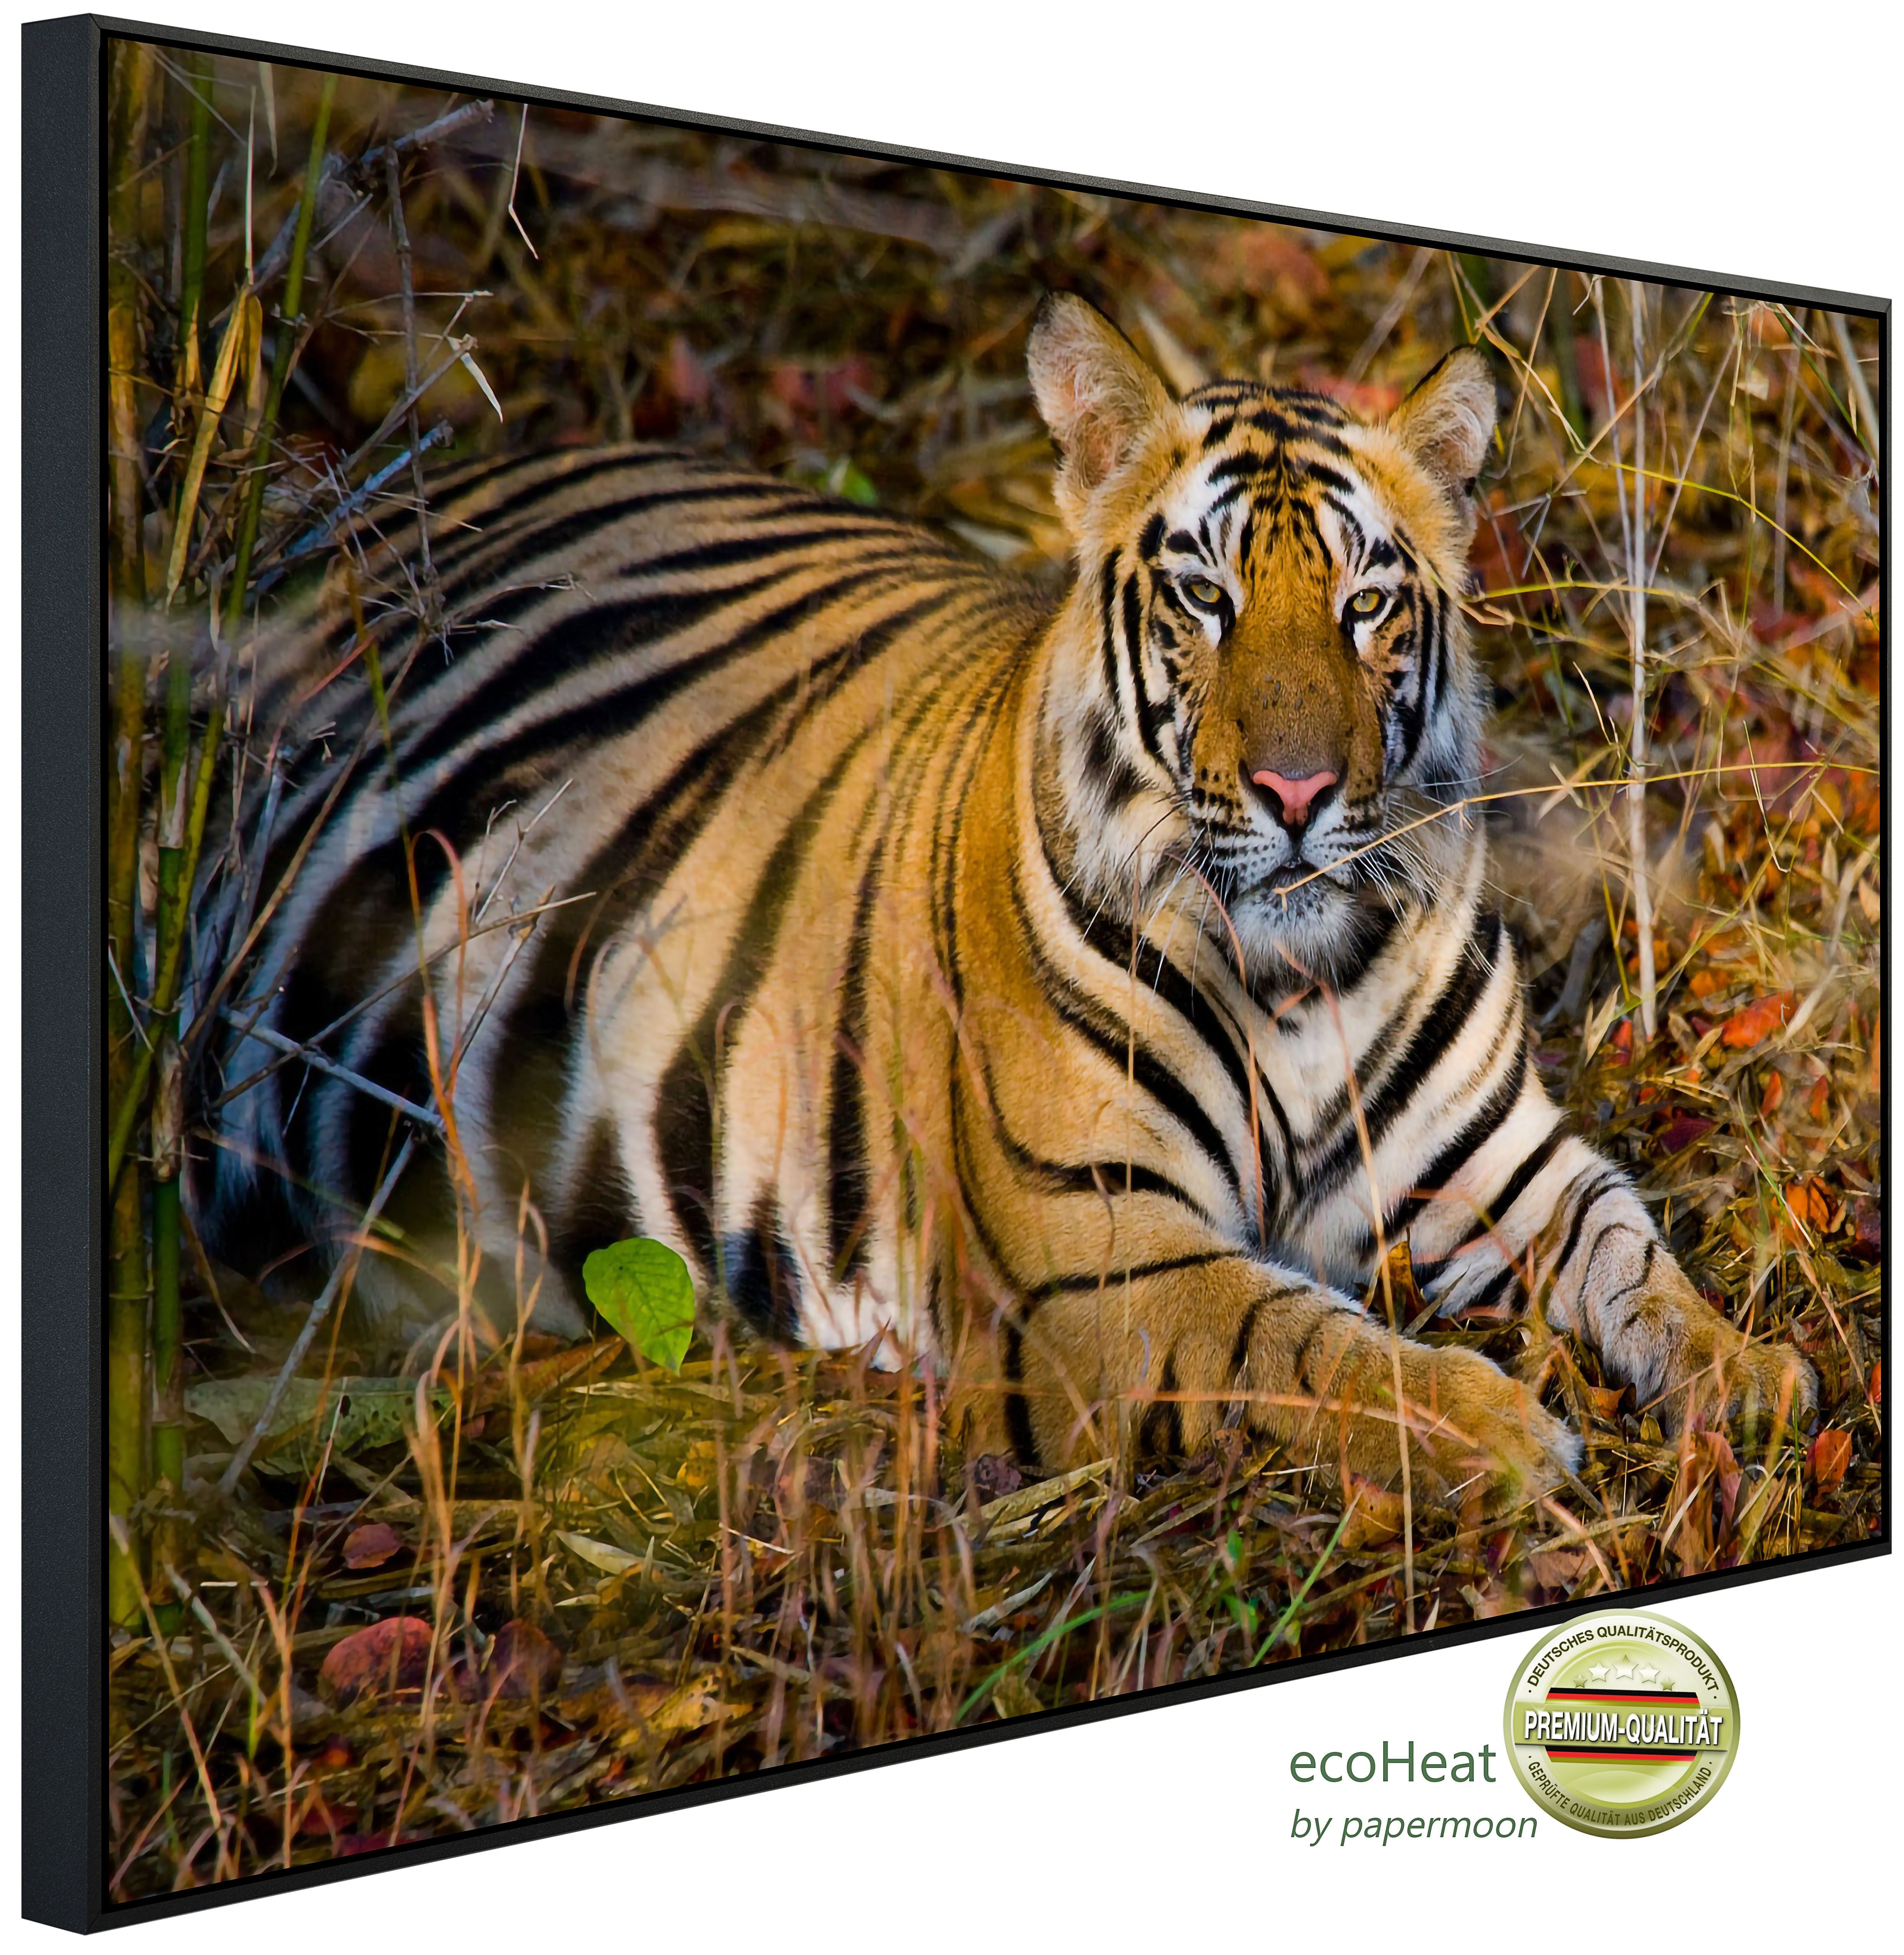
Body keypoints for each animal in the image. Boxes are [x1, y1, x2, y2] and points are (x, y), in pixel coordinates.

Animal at [194, 292, 1816, 1512]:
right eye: (1205, 597)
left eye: (1365, 605)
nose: (1296, 791)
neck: (1301, 975)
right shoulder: (1103, 1261)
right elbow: (1308, 1341)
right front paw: (1494, 1427)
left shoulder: (1500, 1167)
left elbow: (1631, 1249)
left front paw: (1755, 1374)